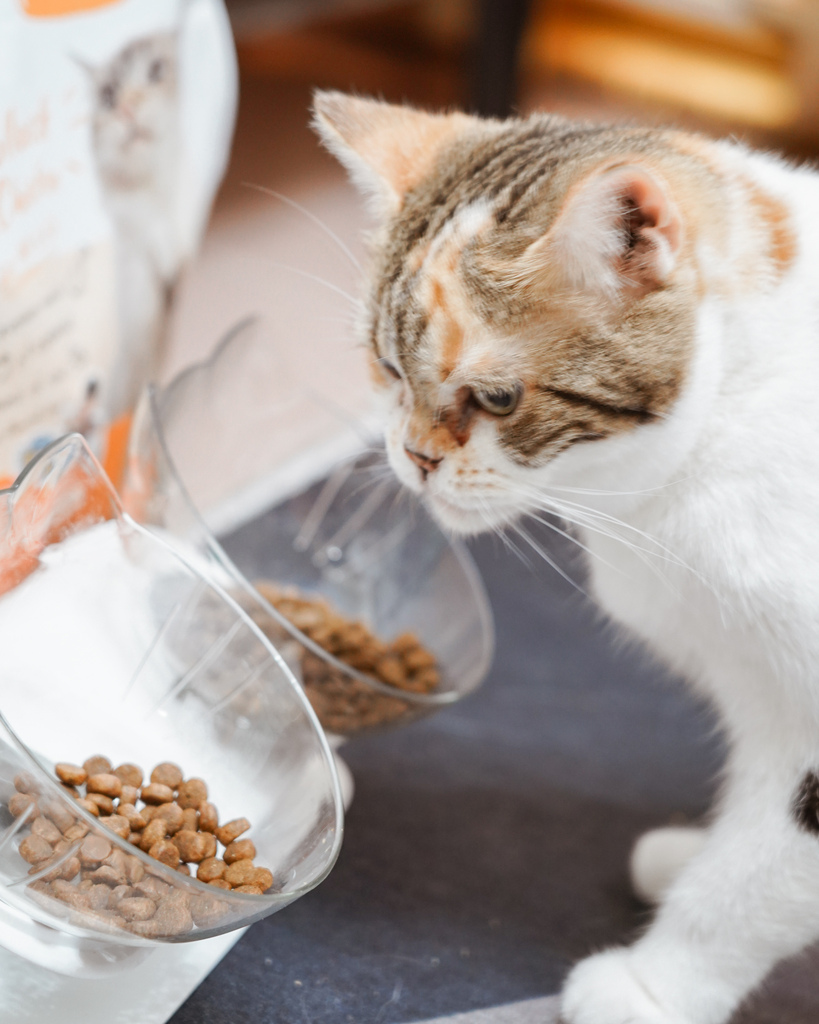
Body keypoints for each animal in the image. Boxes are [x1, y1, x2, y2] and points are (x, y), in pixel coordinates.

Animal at [315, 88, 819, 1024]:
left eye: (497, 398)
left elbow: (758, 873)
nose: (415, 458)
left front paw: (656, 985)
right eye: (389, 368)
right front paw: (700, 854)